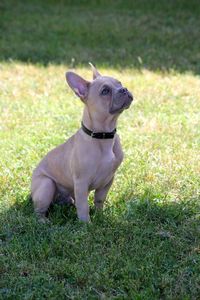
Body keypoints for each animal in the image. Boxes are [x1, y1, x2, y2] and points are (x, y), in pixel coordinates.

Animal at [31, 63, 134, 223]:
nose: (124, 89)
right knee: (39, 210)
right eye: (105, 91)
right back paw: (44, 221)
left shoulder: (108, 180)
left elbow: (99, 199)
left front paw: (100, 216)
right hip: (46, 185)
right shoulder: (81, 182)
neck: (102, 136)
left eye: (120, 83)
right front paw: (86, 224)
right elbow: (83, 205)